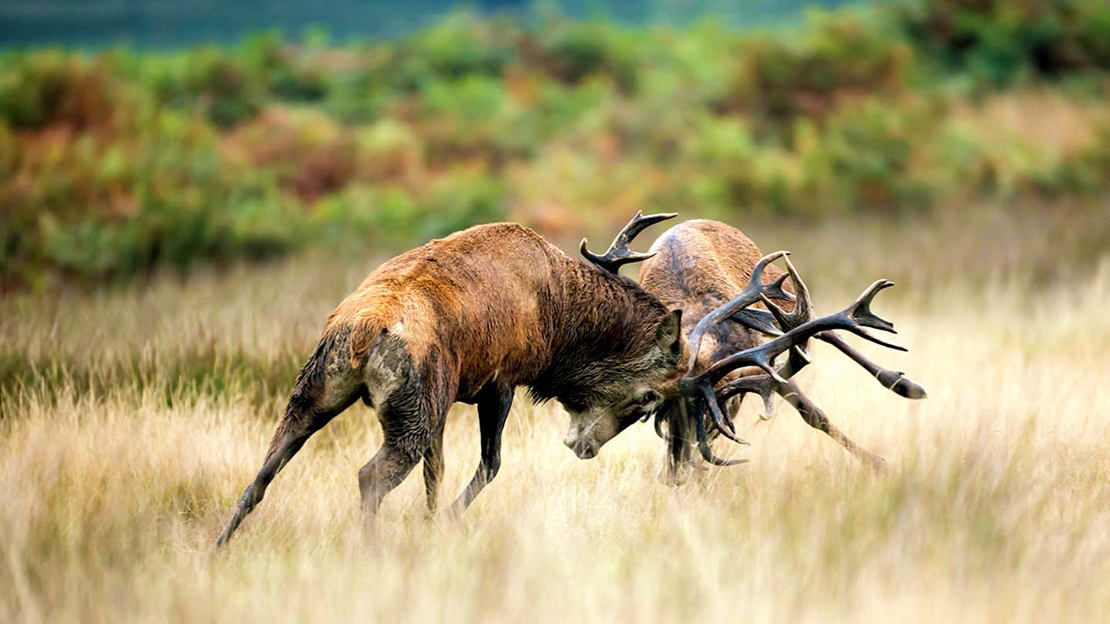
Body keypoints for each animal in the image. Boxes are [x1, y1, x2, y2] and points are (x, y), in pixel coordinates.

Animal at [580, 214, 927, 484]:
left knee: (822, 326)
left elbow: (813, 413)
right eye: (656, 412)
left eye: (709, 414)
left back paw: (905, 384)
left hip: (781, 292)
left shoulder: (759, 364)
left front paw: (881, 465)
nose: (674, 476)